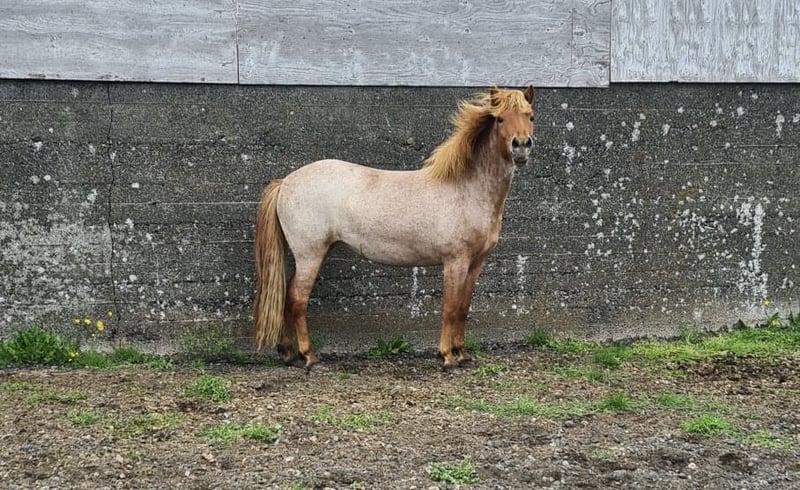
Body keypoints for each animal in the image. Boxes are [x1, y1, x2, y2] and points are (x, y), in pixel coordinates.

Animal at [253, 85, 534, 369]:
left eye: (530, 116)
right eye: (500, 119)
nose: (521, 145)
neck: (466, 189)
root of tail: (285, 183)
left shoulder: (476, 262)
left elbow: (463, 308)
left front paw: (463, 353)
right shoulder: (455, 261)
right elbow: (450, 308)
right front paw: (446, 357)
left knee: (287, 297)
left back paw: (287, 352)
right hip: (310, 255)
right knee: (297, 299)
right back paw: (308, 355)